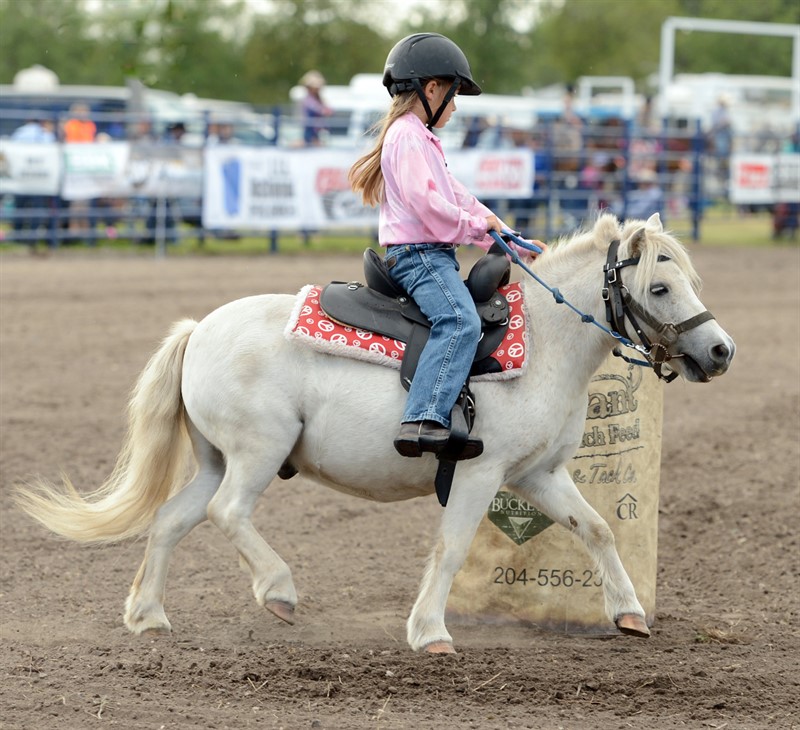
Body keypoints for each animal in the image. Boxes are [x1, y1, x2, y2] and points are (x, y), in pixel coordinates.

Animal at [14, 212, 735, 654]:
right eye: (661, 286)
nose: (722, 351)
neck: (544, 342)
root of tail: (198, 330)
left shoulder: (539, 474)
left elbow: (599, 529)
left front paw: (629, 613)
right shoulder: (479, 471)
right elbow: (450, 548)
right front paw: (429, 632)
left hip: (216, 457)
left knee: (171, 519)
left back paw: (148, 616)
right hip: (257, 452)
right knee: (228, 513)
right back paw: (278, 591)